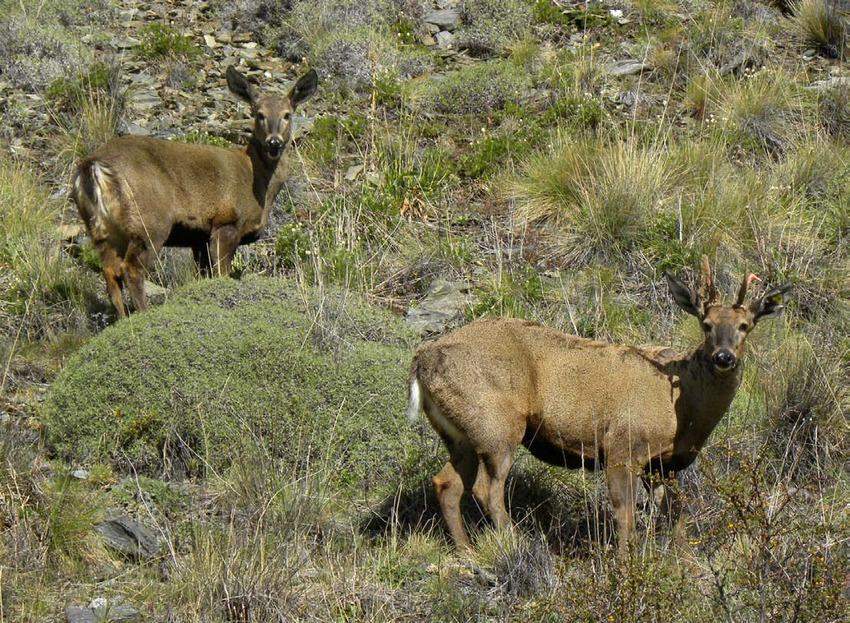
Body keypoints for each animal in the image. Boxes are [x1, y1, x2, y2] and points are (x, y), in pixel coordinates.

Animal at [70, 65, 318, 316]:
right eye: (259, 114)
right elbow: (222, 275)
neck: (256, 181)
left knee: (111, 274)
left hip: (102, 230)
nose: (274, 142)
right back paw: (144, 314)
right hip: (149, 223)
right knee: (131, 269)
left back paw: (124, 319)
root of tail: (92, 165)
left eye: (287, 114)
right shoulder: (226, 223)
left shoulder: (198, 237)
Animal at [404, 260, 788, 552]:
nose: (723, 357)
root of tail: (421, 360)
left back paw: (468, 552)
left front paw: (679, 561)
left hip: (463, 435)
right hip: (496, 425)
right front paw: (627, 565)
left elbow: (674, 517)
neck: (683, 411)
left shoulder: (666, 464)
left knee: (447, 484)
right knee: (487, 490)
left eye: (745, 325)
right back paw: (518, 547)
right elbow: (625, 514)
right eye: (706, 324)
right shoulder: (622, 445)